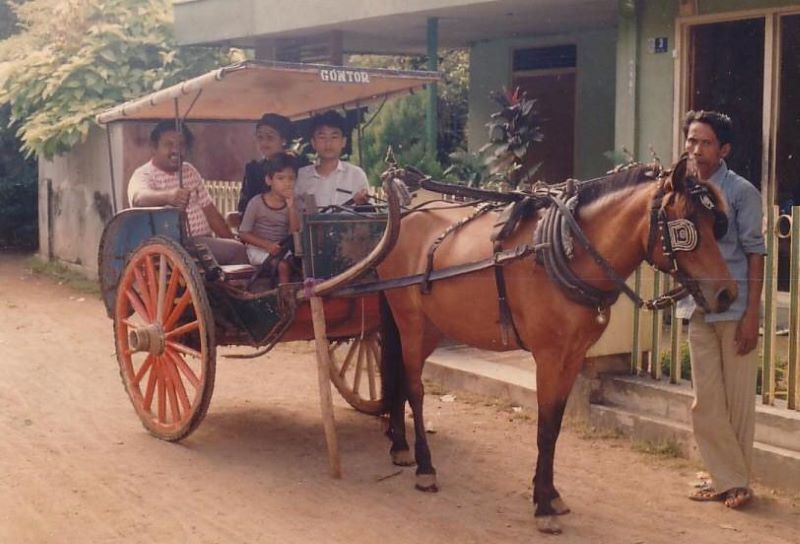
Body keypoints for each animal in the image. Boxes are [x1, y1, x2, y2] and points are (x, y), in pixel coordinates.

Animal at [376, 155, 736, 532]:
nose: (727, 294)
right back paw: (425, 467)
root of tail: (406, 219)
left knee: (399, 377)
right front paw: (543, 506)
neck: (567, 251)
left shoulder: (572, 357)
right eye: (686, 228)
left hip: (428, 327)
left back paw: (400, 445)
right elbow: (545, 429)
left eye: (716, 225)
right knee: (415, 390)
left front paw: (549, 494)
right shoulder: (548, 357)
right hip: (411, 324)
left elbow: (556, 425)